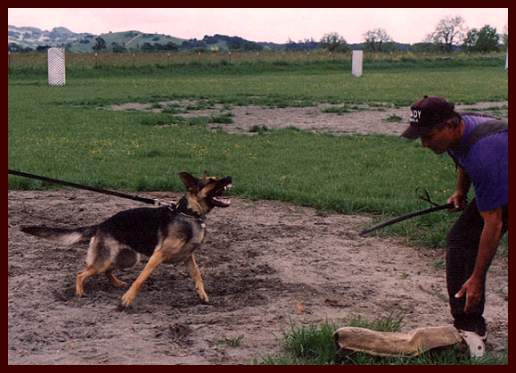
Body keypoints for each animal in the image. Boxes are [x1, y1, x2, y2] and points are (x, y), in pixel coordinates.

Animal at [20, 171, 232, 308]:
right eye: (211, 181)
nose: (230, 177)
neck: (189, 214)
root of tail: (102, 224)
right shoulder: (157, 257)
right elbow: (140, 279)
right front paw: (127, 299)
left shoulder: (188, 257)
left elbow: (198, 275)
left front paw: (202, 294)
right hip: (107, 259)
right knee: (82, 273)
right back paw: (80, 291)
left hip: (128, 259)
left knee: (106, 271)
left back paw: (116, 283)